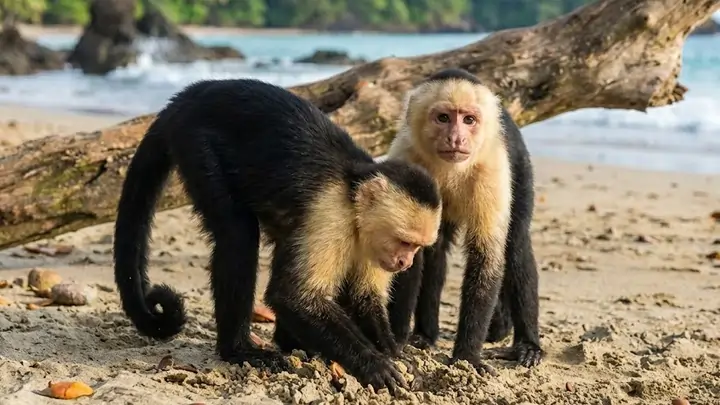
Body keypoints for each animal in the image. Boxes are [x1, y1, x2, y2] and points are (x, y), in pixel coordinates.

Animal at [112, 78, 443, 393]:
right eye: (405, 242)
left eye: (417, 247)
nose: (405, 262)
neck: (353, 197)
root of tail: (192, 93)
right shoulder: (330, 214)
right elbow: (292, 296)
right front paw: (374, 365)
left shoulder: (369, 243)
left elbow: (363, 297)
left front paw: (393, 353)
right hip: (197, 143)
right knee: (238, 234)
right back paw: (239, 350)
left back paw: (292, 344)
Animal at [385, 68, 543, 375]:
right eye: (444, 118)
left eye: (469, 120)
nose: (456, 139)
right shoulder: (406, 157)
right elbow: (407, 251)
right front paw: (395, 340)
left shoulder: (492, 169)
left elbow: (487, 257)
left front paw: (467, 357)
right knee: (435, 251)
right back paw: (425, 335)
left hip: (520, 164)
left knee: (516, 242)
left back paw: (527, 344)